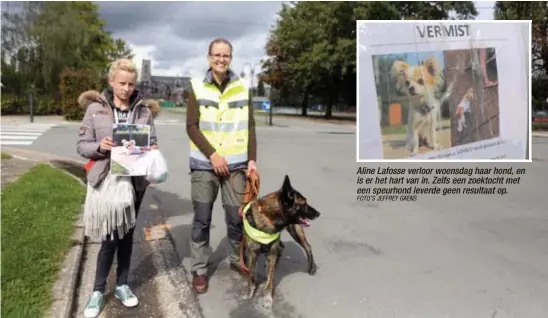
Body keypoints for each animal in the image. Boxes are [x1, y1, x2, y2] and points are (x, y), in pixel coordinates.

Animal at [240, 175, 322, 310]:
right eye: (303, 204)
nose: (318, 213)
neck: (269, 217)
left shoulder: (271, 251)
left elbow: (269, 282)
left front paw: (267, 299)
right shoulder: (252, 254)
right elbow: (251, 276)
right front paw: (249, 293)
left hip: (295, 230)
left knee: (307, 247)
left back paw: (311, 267)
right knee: (282, 248)